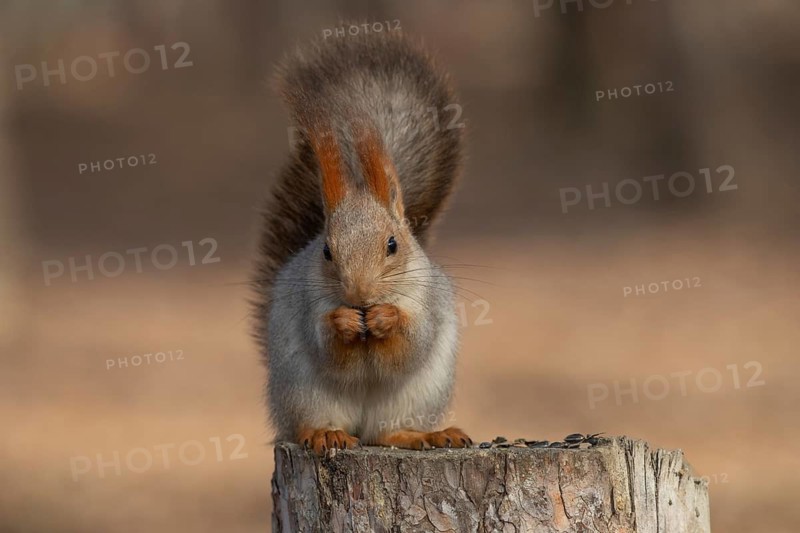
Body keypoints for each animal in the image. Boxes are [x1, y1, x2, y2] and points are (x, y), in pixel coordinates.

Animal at [253, 29, 471, 454]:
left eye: (393, 245)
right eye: (326, 251)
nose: (359, 295)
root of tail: (359, 427)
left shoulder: (425, 303)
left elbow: (411, 345)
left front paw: (387, 318)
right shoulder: (309, 307)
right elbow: (330, 351)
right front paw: (344, 322)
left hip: (416, 396)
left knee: (387, 433)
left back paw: (425, 434)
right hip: (303, 391)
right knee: (315, 423)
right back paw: (324, 433)